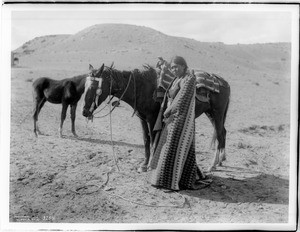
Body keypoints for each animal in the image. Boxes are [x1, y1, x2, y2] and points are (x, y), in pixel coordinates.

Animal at [82, 63, 230, 172]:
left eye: (94, 87)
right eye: (85, 86)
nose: (84, 111)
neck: (141, 87)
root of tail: (224, 82)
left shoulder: (152, 119)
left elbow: (153, 140)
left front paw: (150, 164)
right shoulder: (142, 119)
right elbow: (146, 140)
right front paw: (144, 164)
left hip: (217, 113)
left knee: (220, 134)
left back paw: (212, 165)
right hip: (210, 113)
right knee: (222, 132)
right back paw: (220, 161)